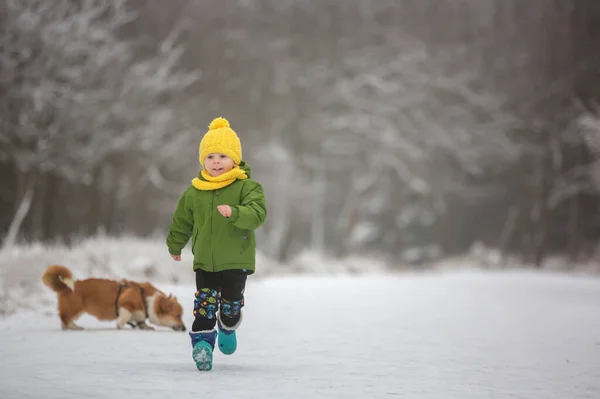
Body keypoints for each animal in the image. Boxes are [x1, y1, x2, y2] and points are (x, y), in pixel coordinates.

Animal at [42, 266, 185, 332]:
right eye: (178, 316)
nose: (184, 329)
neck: (148, 300)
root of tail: (64, 286)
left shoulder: (140, 315)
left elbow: (141, 322)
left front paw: (146, 327)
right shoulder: (125, 305)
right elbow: (123, 319)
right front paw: (122, 327)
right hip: (75, 309)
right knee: (65, 319)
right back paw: (76, 327)